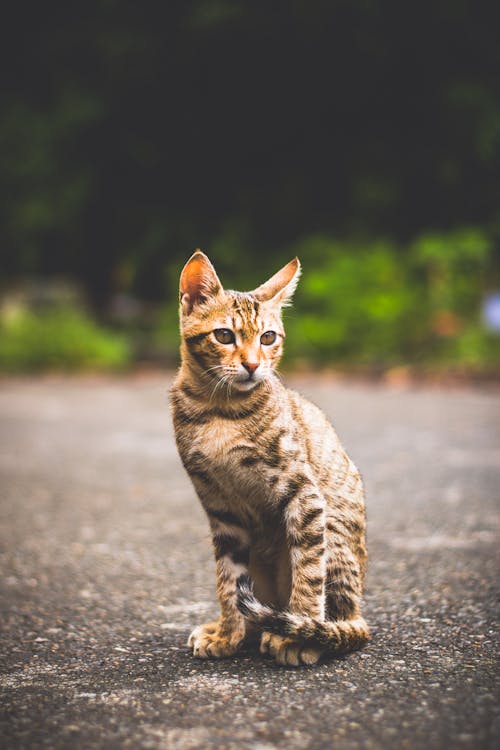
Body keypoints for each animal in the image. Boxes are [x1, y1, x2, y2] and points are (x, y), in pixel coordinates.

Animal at [170, 253, 370, 668]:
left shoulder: (305, 495)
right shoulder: (220, 507)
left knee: (340, 617)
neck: (220, 409)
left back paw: (310, 631)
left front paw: (300, 632)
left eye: (268, 338)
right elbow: (228, 578)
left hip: (334, 536)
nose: (252, 365)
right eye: (224, 336)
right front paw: (227, 634)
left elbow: (308, 573)